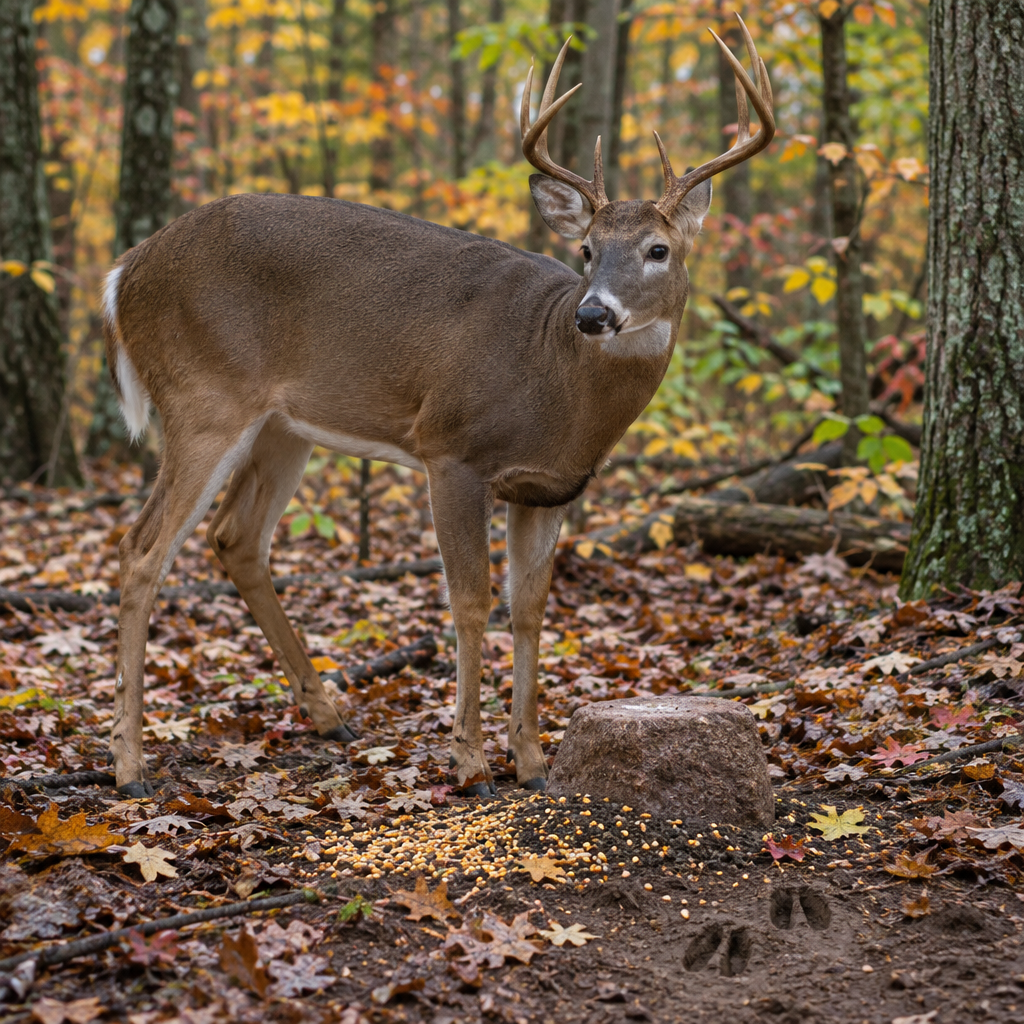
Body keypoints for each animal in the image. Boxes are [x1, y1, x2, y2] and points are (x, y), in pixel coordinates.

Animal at [100, 15, 773, 798]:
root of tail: (124, 271)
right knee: (142, 550)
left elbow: (530, 608)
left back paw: (330, 718)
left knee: (236, 539)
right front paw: (471, 763)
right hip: (203, 396)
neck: (555, 384)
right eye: (587, 248)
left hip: (283, 425)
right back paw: (128, 765)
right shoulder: (450, 448)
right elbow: (471, 601)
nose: (594, 314)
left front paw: (533, 762)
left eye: (658, 249)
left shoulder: (549, 488)